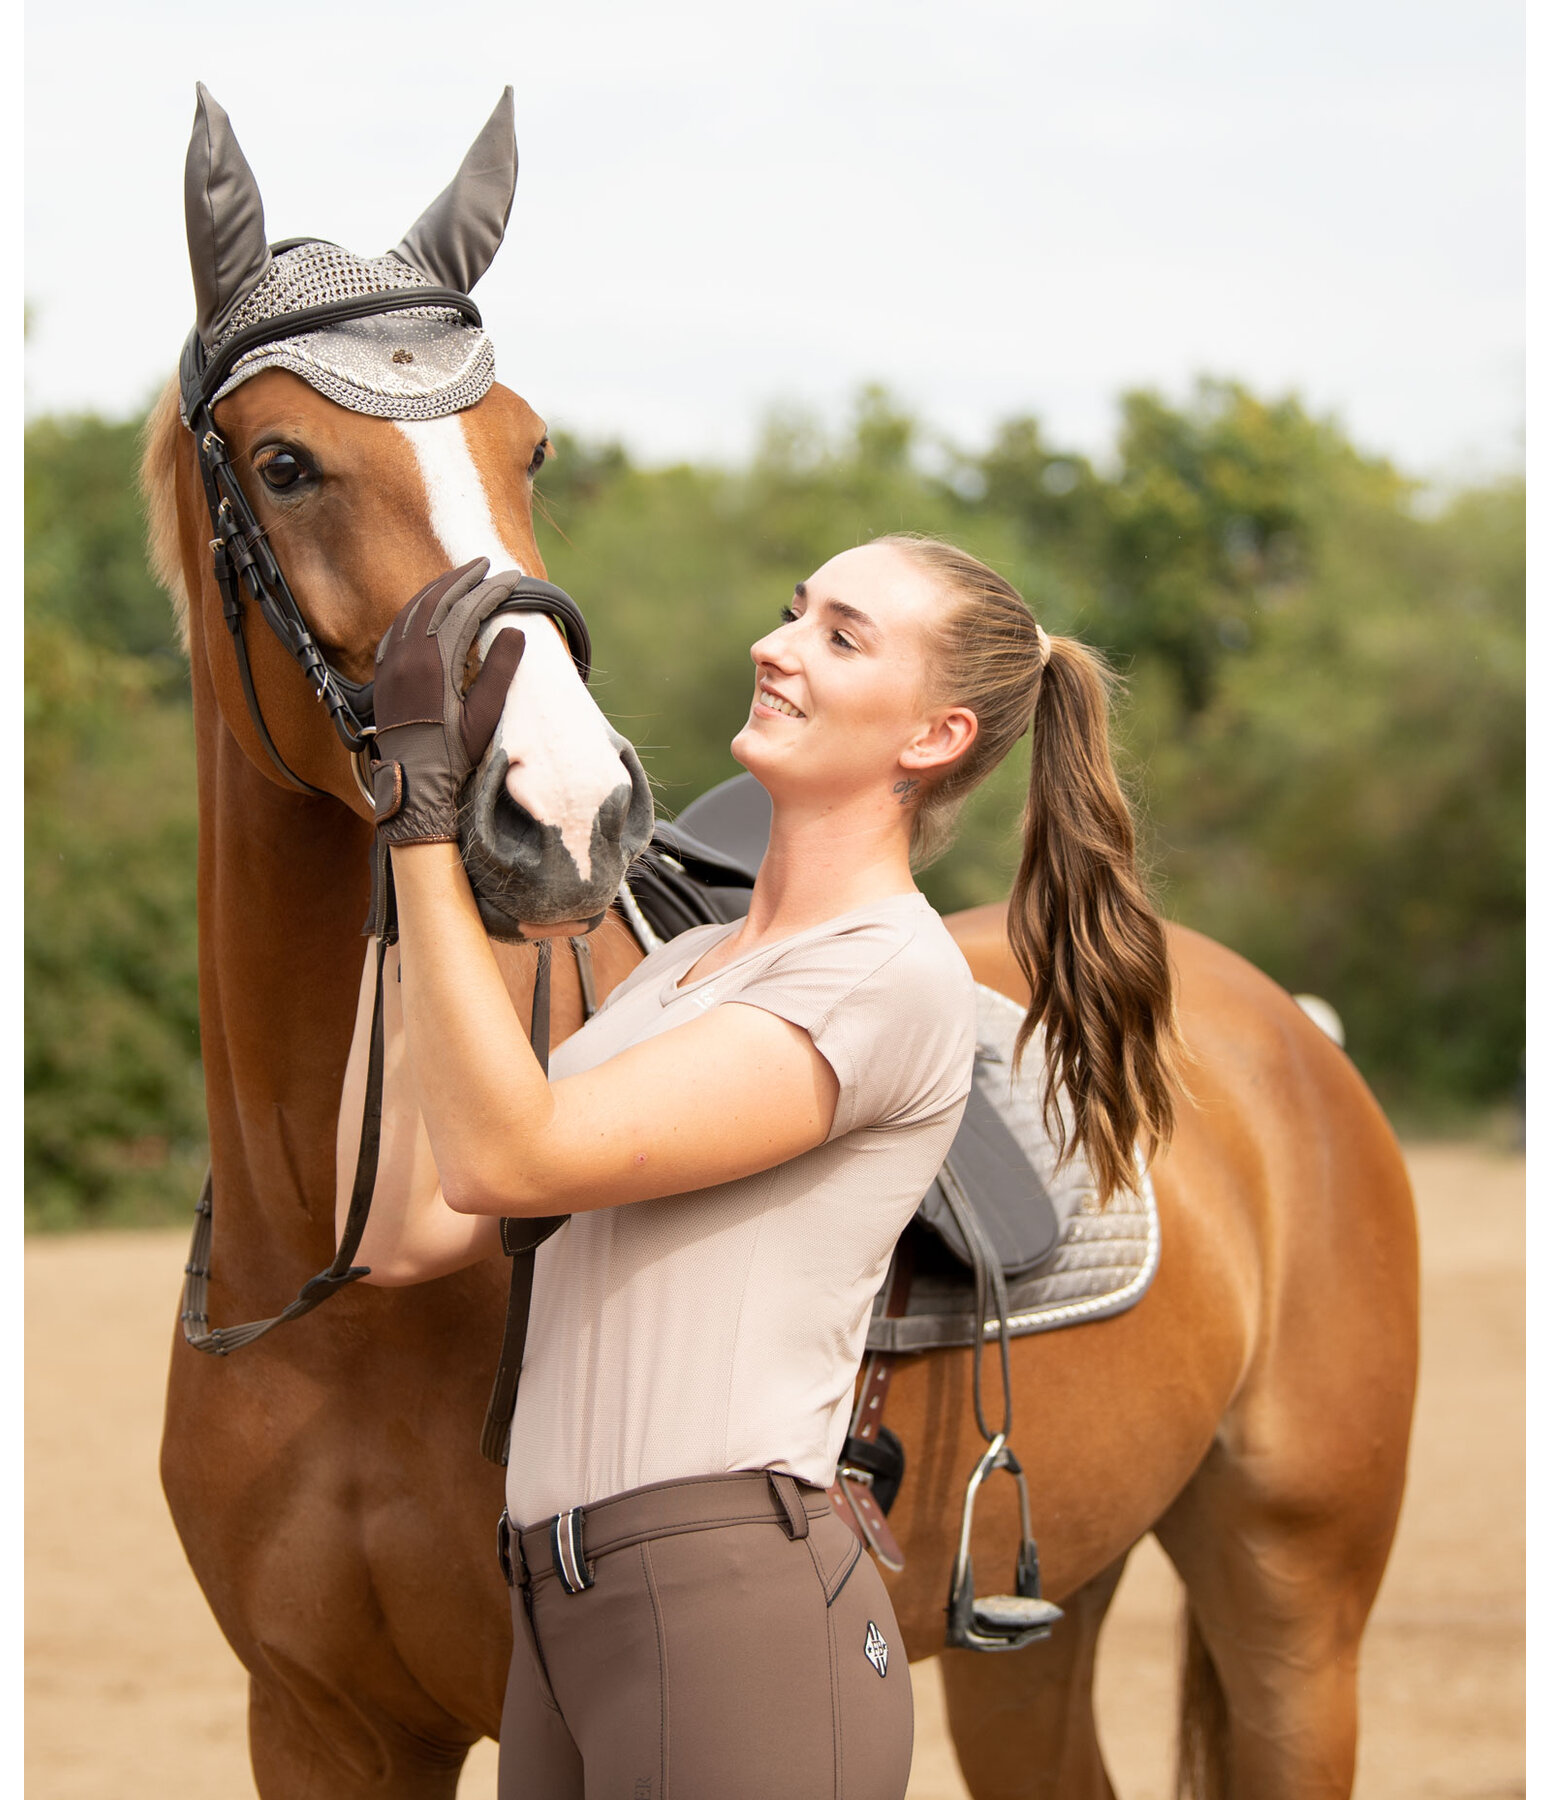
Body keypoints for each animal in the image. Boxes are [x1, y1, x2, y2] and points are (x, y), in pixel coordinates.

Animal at [144, 102, 1418, 1800]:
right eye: (286, 464)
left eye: (528, 446)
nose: (570, 808)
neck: (330, 1280)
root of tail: (1287, 1036)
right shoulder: (318, 1722)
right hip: (1043, 1618)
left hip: (1295, 1610)